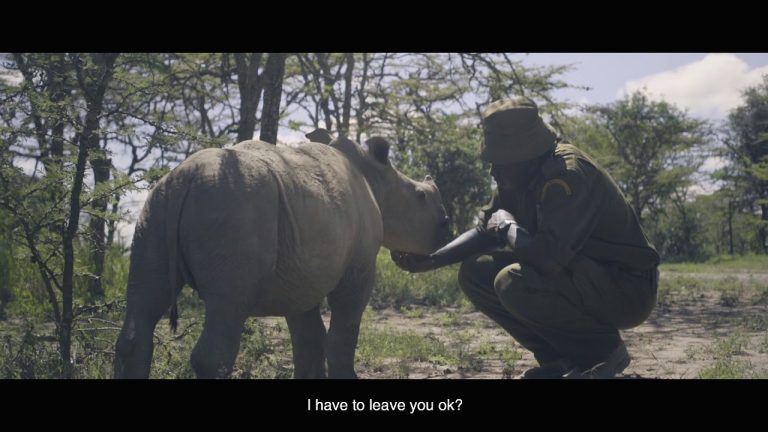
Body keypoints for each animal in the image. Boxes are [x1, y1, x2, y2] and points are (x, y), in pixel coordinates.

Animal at [114, 133, 451, 378]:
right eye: (421, 196)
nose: (446, 227)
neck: (375, 178)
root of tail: (187, 179)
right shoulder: (359, 268)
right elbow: (343, 333)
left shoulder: (301, 270)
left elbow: (308, 338)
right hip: (234, 207)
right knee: (227, 308)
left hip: (157, 205)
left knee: (143, 306)